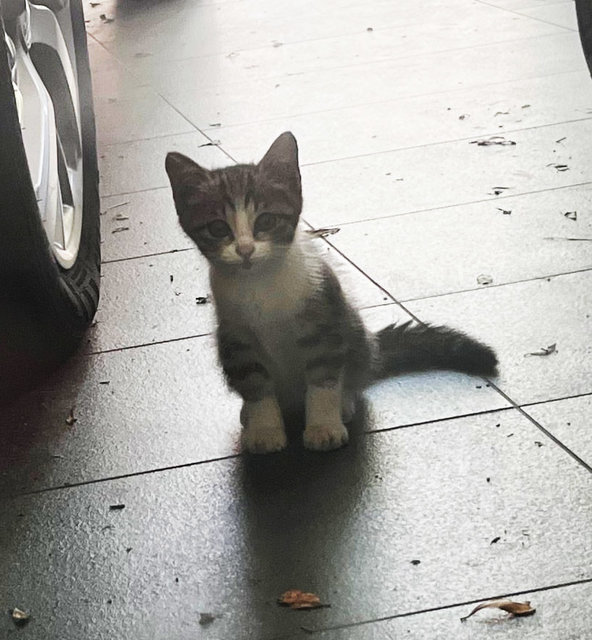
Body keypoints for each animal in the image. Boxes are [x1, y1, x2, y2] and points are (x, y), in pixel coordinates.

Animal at [164, 132, 498, 452]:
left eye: (266, 220)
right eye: (218, 228)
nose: (245, 250)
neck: (261, 287)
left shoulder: (324, 318)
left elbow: (323, 379)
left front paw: (324, 427)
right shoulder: (236, 337)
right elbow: (255, 384)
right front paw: (264, 430)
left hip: (353, 330)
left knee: (351, 376)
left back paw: (344, 404)